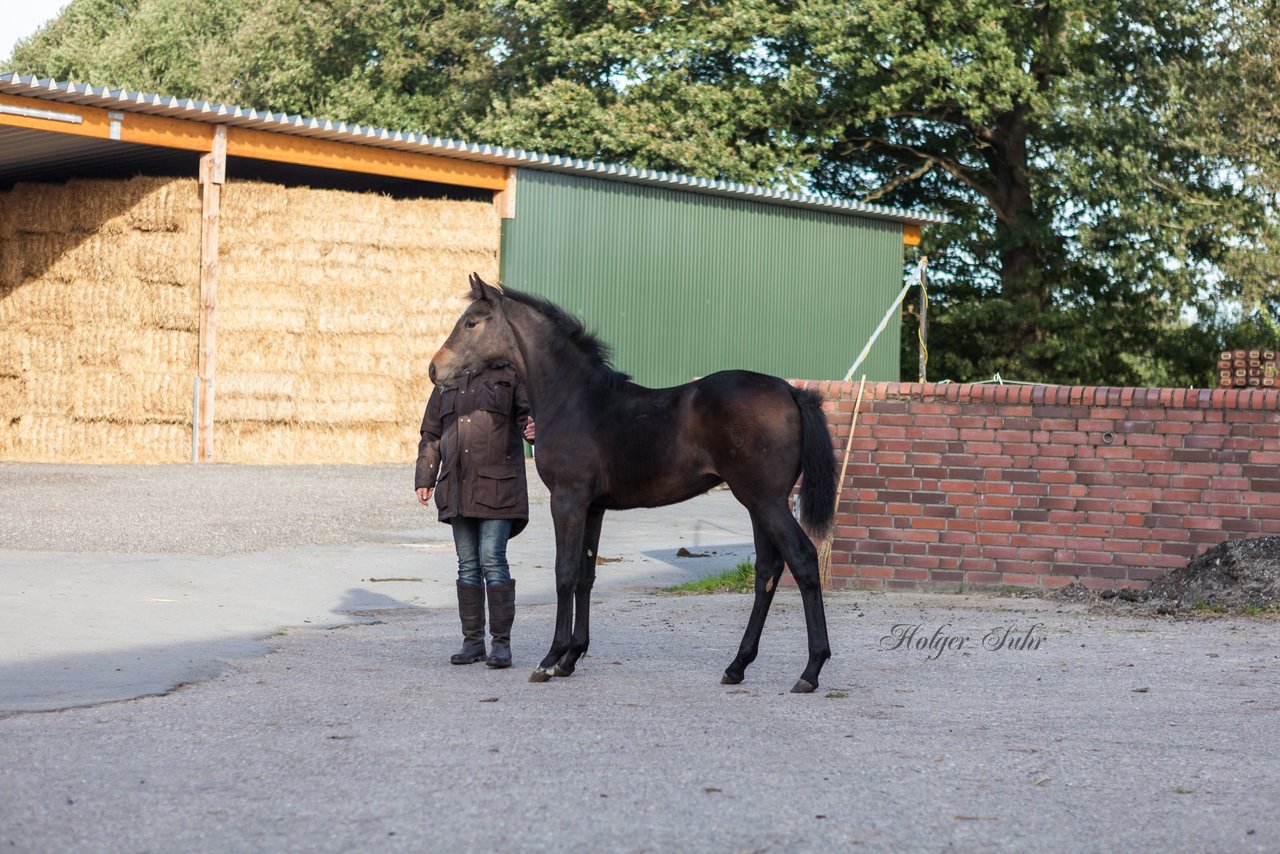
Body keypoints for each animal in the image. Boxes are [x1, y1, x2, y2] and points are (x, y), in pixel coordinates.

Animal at [430, 275, 839, 696]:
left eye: (471, 322)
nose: (434, 369)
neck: (573, 400)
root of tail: (792, 391)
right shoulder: (593, 507)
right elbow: (585, 576)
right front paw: (571, 658)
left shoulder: (567, 500)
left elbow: (564, 573)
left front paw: (550, 659)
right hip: (759, 503)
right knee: (767, 571)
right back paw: (737, 665)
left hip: (766, 500)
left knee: (803, 559)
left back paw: (810, 670)